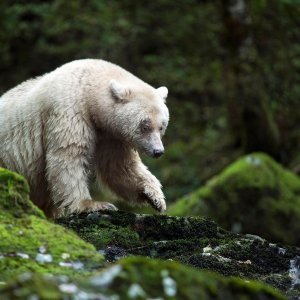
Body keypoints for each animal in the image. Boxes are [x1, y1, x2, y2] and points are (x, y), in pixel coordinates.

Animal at [0, 58, 169, 217]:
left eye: (161, 126)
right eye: (145, 126)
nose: (158, 151)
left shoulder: (110, 135)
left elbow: (119, 167)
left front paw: (155, 197)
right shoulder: (69, 111)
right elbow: (69, 156)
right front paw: (93, 204)